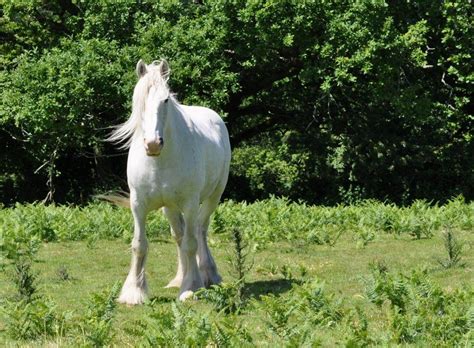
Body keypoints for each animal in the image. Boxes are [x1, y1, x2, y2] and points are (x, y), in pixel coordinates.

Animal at [109, 59, 231, 304]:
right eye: (139, 100)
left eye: (165, 100)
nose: (153, 144)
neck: (160, 161)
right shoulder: (138, 204)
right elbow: (140, 245)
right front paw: (134, 292)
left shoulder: (191, 204)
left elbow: (191, 244)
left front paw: (191, 288)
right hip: (170, 207)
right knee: (180, 235)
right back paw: (180, 278)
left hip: (213, 197)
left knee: (200, 231)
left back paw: (208, 274)